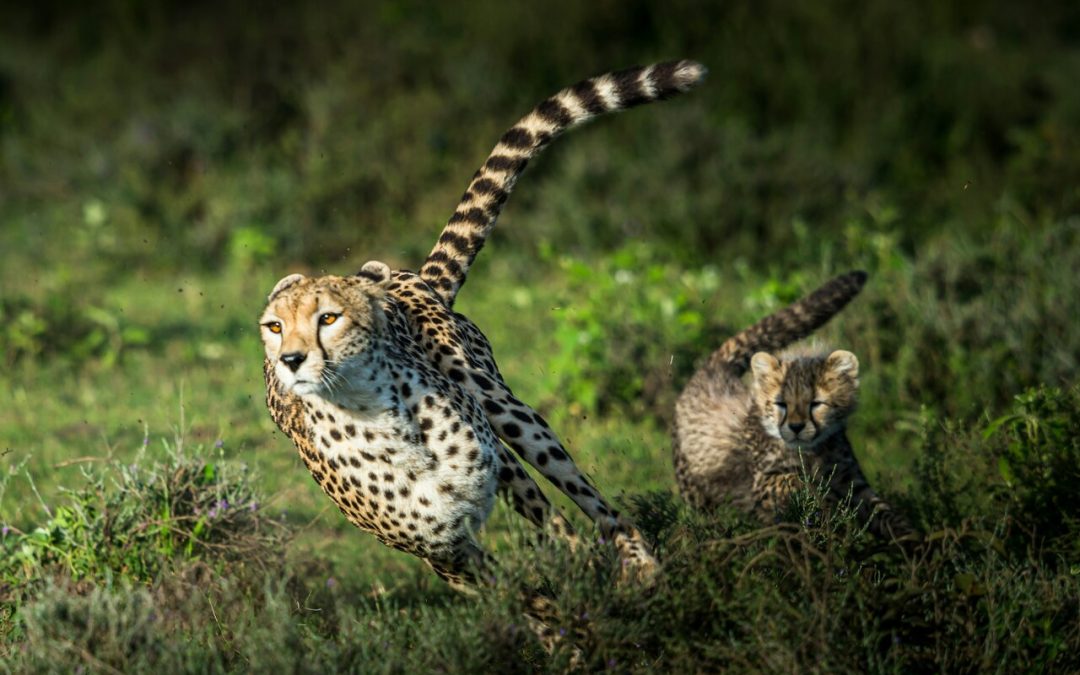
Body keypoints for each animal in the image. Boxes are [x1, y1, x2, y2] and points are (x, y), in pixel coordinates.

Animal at [260, 61, 706, 617]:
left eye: (328, 318)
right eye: (274, 326)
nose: (291, 360)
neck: (376, 420)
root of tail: (410, 276)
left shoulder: (497, 470)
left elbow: (562, 539)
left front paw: (592, 592)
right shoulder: (443, 552)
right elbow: (522, 598)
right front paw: (564, 625)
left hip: (504, 410)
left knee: (590, 501)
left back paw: (639, 564)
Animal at [673, 270, 915, 541]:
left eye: (816, 403)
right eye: (781, 403)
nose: (796, 427)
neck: (812, 452)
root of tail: (714, 369)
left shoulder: (850, 480)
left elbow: (884, 512)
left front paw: (914, 540)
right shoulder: (760, 483)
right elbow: (796, 482)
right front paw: (824, 506)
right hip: (696, 493)